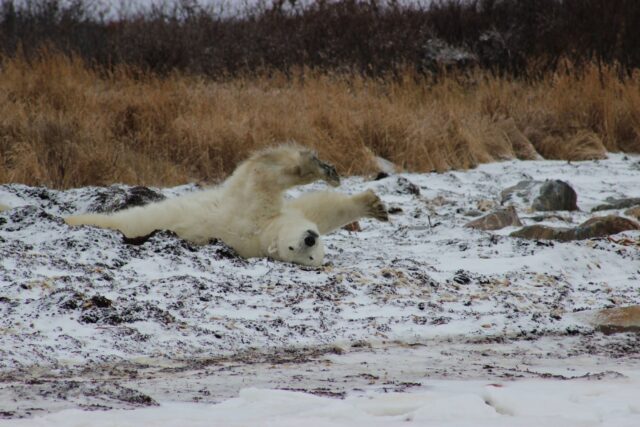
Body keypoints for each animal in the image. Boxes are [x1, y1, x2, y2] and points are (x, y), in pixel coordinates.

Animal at [65, 144, 388, 266]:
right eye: (293, 248)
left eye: (311, 254)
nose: (309, 238)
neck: (263, 232)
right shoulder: (250, 210)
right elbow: (263, 174)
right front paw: (321, 168)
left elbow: (321, 209)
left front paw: (374, 206)